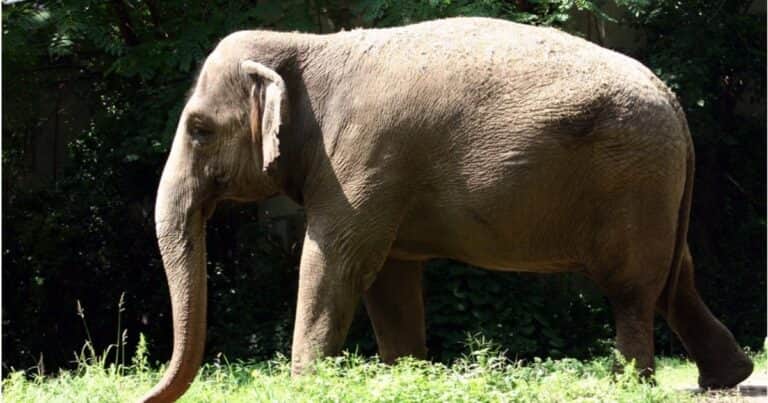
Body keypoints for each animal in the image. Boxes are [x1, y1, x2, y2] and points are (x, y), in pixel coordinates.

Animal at [142, 17, 753, 402]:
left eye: (198, 129)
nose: (146, 396)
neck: (306, 46)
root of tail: (673, 100)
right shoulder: (376, 173)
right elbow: (388, 276)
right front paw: (406, 376)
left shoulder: (362, 157)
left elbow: (336, 260)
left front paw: (305, 387)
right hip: (655, 186)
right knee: (678, 279)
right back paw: (728, 376)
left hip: (631, 179)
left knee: (632, 287)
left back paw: (629, 384)